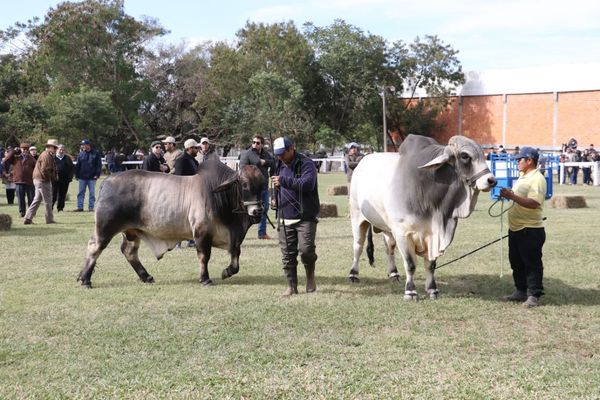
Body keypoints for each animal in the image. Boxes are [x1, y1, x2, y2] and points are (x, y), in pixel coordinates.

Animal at [78, 159, 264, 288]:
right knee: (95, 247)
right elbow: (204, 256)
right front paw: (205, 279)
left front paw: (227, 272)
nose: (257, 211)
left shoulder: (233, 238)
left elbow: (236, 256)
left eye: (262, 185)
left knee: (129, 251)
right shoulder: (201, 233)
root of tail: (107, 180)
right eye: (244, 185)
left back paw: (146, 276)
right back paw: (85, 279)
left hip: (131, 231)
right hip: (105, 227)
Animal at [346, 136, 496, 298]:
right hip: (357, 217)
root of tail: (362, 161)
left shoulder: (432, 235)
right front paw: (410, 291)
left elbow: (431, 265)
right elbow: (410, 264)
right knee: (358, 246)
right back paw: (353, 274)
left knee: (389, 247)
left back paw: (393, 274)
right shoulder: (403, 233)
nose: (492, 180)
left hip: (387, 227)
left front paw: (432, 290)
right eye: (465, 156)